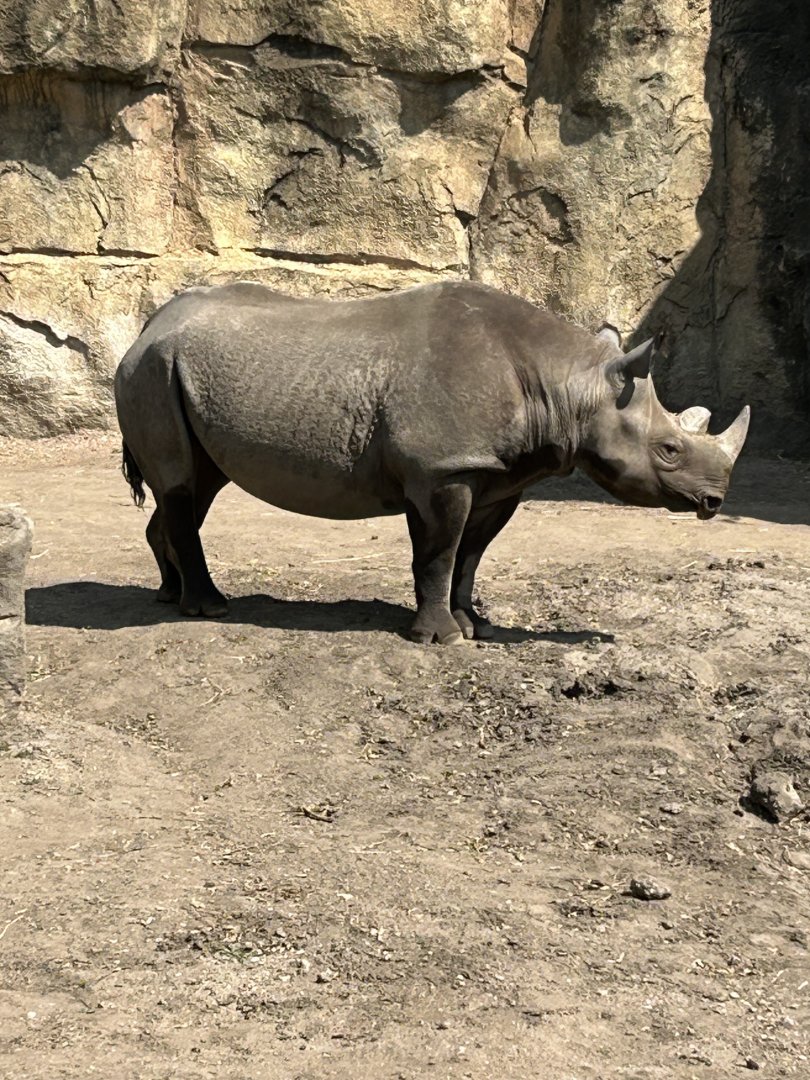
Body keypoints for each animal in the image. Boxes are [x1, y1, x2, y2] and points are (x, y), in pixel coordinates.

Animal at [115, 280, 750, 644]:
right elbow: (440, 552)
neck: (569, 384)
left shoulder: (496, 475)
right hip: (153, 371)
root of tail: (148, 326)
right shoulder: (444, 468)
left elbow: (467, 554)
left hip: (172, 371)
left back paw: (170, 594)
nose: (714, 501)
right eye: (669, 450)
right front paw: (440, 640)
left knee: (197, 484)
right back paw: (208, 610)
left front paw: (474, 626)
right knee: (181, 484)